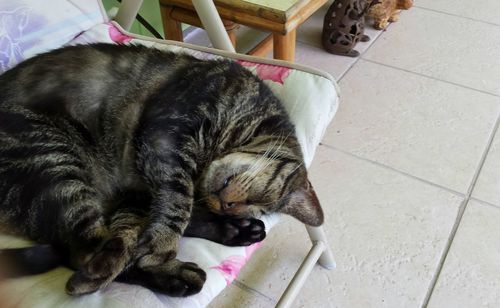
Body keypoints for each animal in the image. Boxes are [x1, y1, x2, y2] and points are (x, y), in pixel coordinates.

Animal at [0, 43, 322, 296]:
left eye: (253, 206)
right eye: (261, 199)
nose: (227, 207)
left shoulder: (140, 187)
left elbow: (158, 220)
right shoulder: (167, 135)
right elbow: (178, 203)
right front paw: (163, 248)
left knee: (103, 244)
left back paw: (231, 233)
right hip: (54, 160)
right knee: (84, 252)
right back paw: (176, 273)